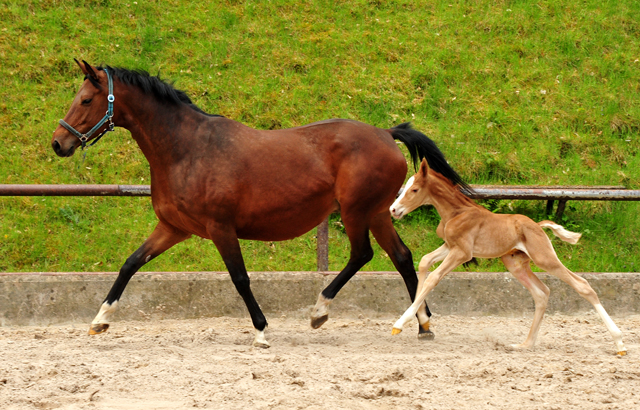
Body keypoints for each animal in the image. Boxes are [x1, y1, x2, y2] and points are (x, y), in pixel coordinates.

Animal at [48, 59, 464, 348]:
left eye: (86, 100)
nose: (58, 143)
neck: (186, 150)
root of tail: (385, 133)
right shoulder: (174, 228)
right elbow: (130, 264)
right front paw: (100, 320)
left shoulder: (220, 228)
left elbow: (240, 278)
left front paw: (262, 332)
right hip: (378, 213)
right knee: (403, 257)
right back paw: (423, 325)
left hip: (356, 212)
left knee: (363, 255)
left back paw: (320, 311)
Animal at [388, 158, 628, 356]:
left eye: (414, 189)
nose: (393, 210)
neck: (457, 212)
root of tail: (538, 226)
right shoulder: (450, 246)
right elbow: (425, 262)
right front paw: (423, 322)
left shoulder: (462, 252)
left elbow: (433, 277)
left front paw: (400, 323)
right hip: (516, 265)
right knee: (542, 293)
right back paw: (525, 345)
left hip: (544, 258)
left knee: (583, 285)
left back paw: (619, 343)